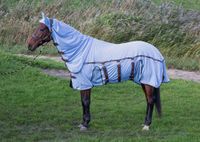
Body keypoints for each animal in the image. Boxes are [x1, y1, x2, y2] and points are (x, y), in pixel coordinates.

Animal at [27, 13, 170, 131]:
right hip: (145, 81)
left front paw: (85, 124)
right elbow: (83, 102)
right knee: (149, 100)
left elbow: (85, 102)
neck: (80, 50)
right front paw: (84, 122)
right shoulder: (83, 83)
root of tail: (156, 52)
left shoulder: (85, 83)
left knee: (150, 100)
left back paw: (146, 125)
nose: (29, 45)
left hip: (148, 80)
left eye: (41, 29)